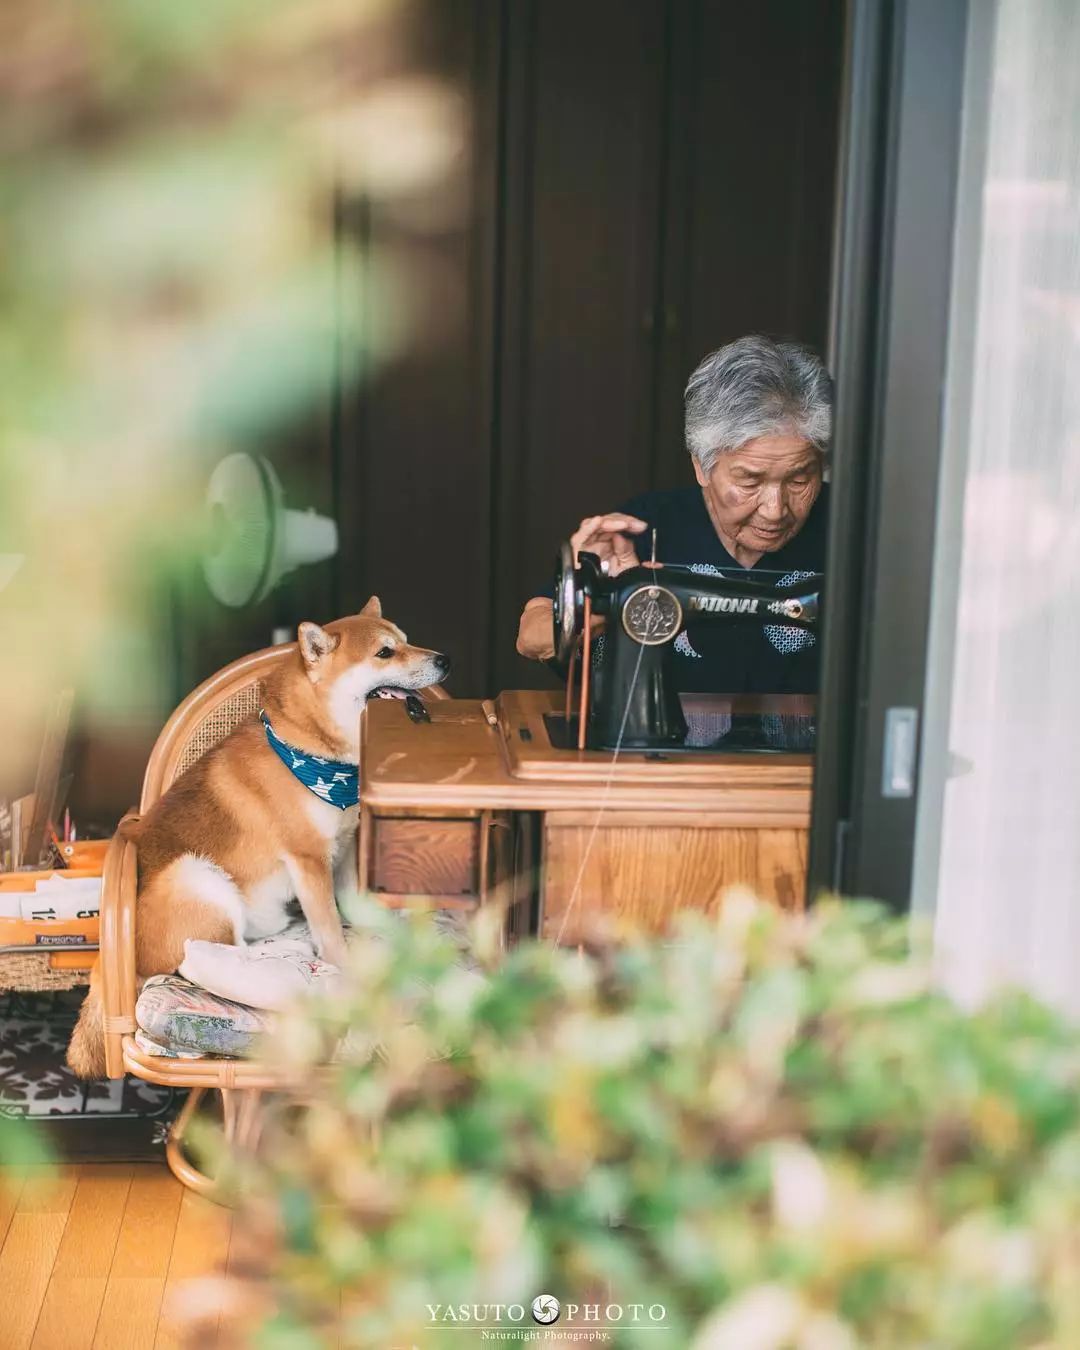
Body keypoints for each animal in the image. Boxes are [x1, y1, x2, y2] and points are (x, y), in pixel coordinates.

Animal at [67, 599, 448, 1074]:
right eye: (384, 652)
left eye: (406, 640)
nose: (444, 660)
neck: (317, 755)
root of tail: (106, 964)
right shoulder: (309, 859)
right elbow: (329, 928)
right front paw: (343, 969)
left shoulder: (344, 847)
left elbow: (355, 906)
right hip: (197, 878)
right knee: (205, 960)